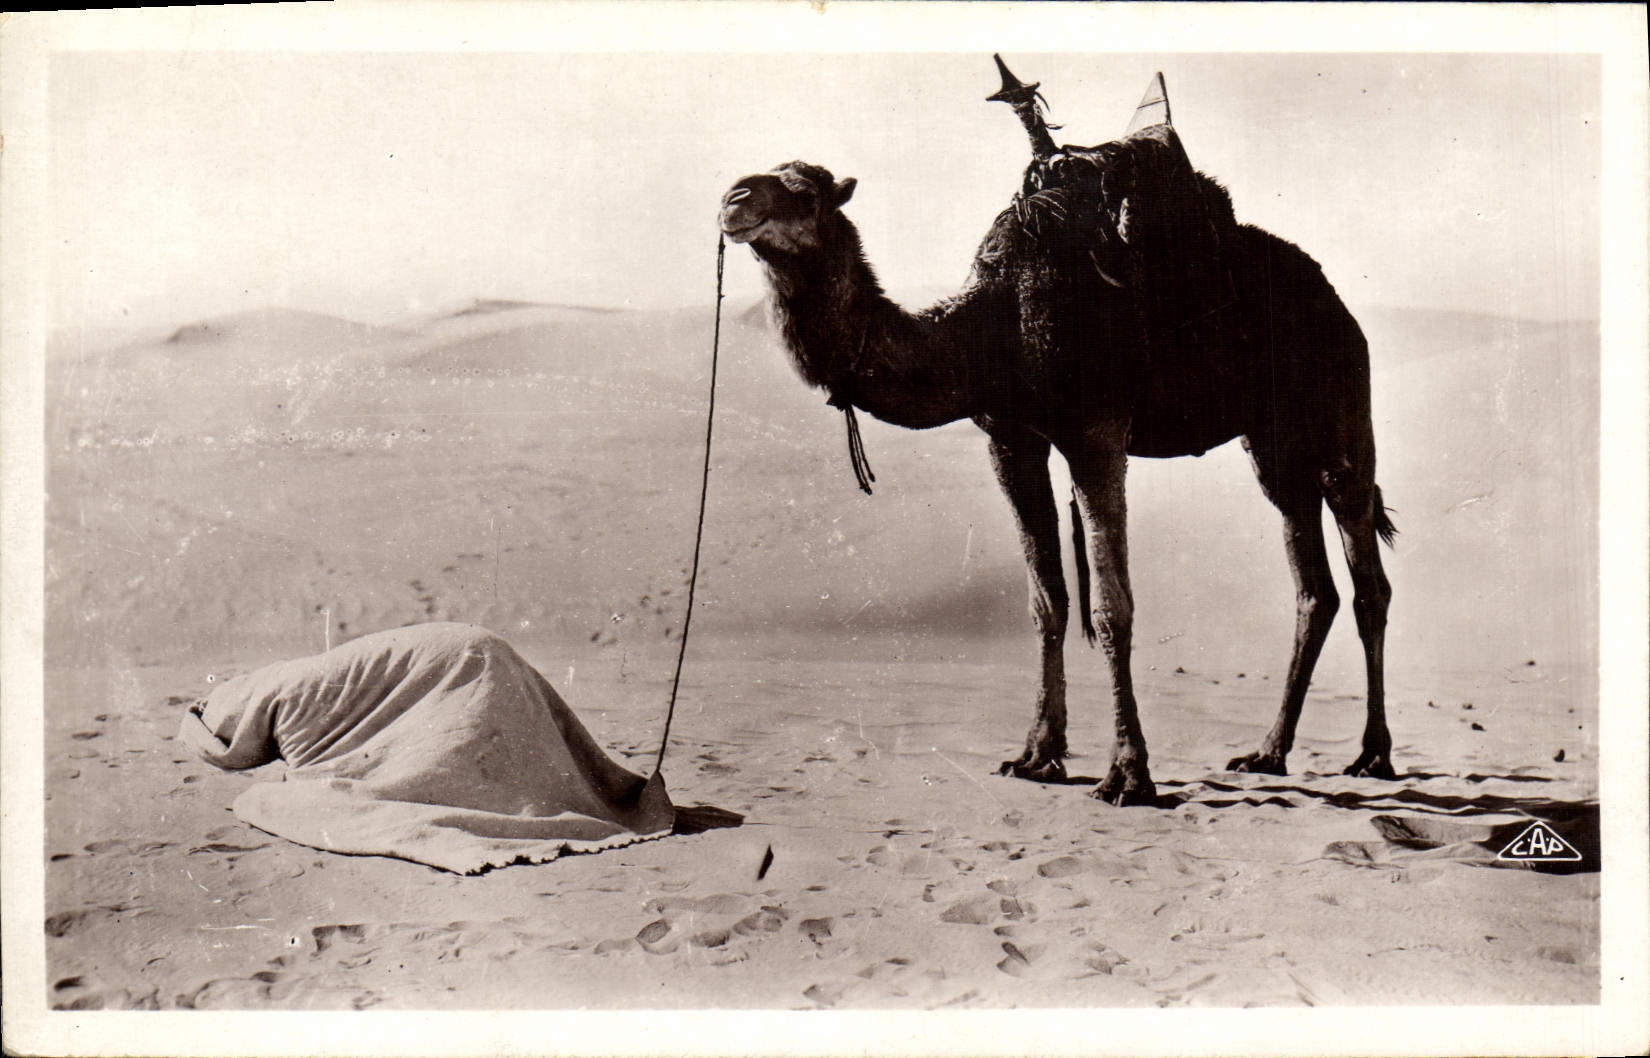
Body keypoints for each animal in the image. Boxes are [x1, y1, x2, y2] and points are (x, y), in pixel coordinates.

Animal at [718, 64, 1395, 805]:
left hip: (1340, 407)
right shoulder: (1011, 439)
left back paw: (1373, 755)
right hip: (1270, 443)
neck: (988, 328)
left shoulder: (1095, 431)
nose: (734, 197)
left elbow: (1111, 606)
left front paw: (1127, 773)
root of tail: (1339, 303)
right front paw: (1037, 753)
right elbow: (1047, 601)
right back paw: (1268, 753)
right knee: (1313, 585)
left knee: (1367, 576)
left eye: (805, 192)